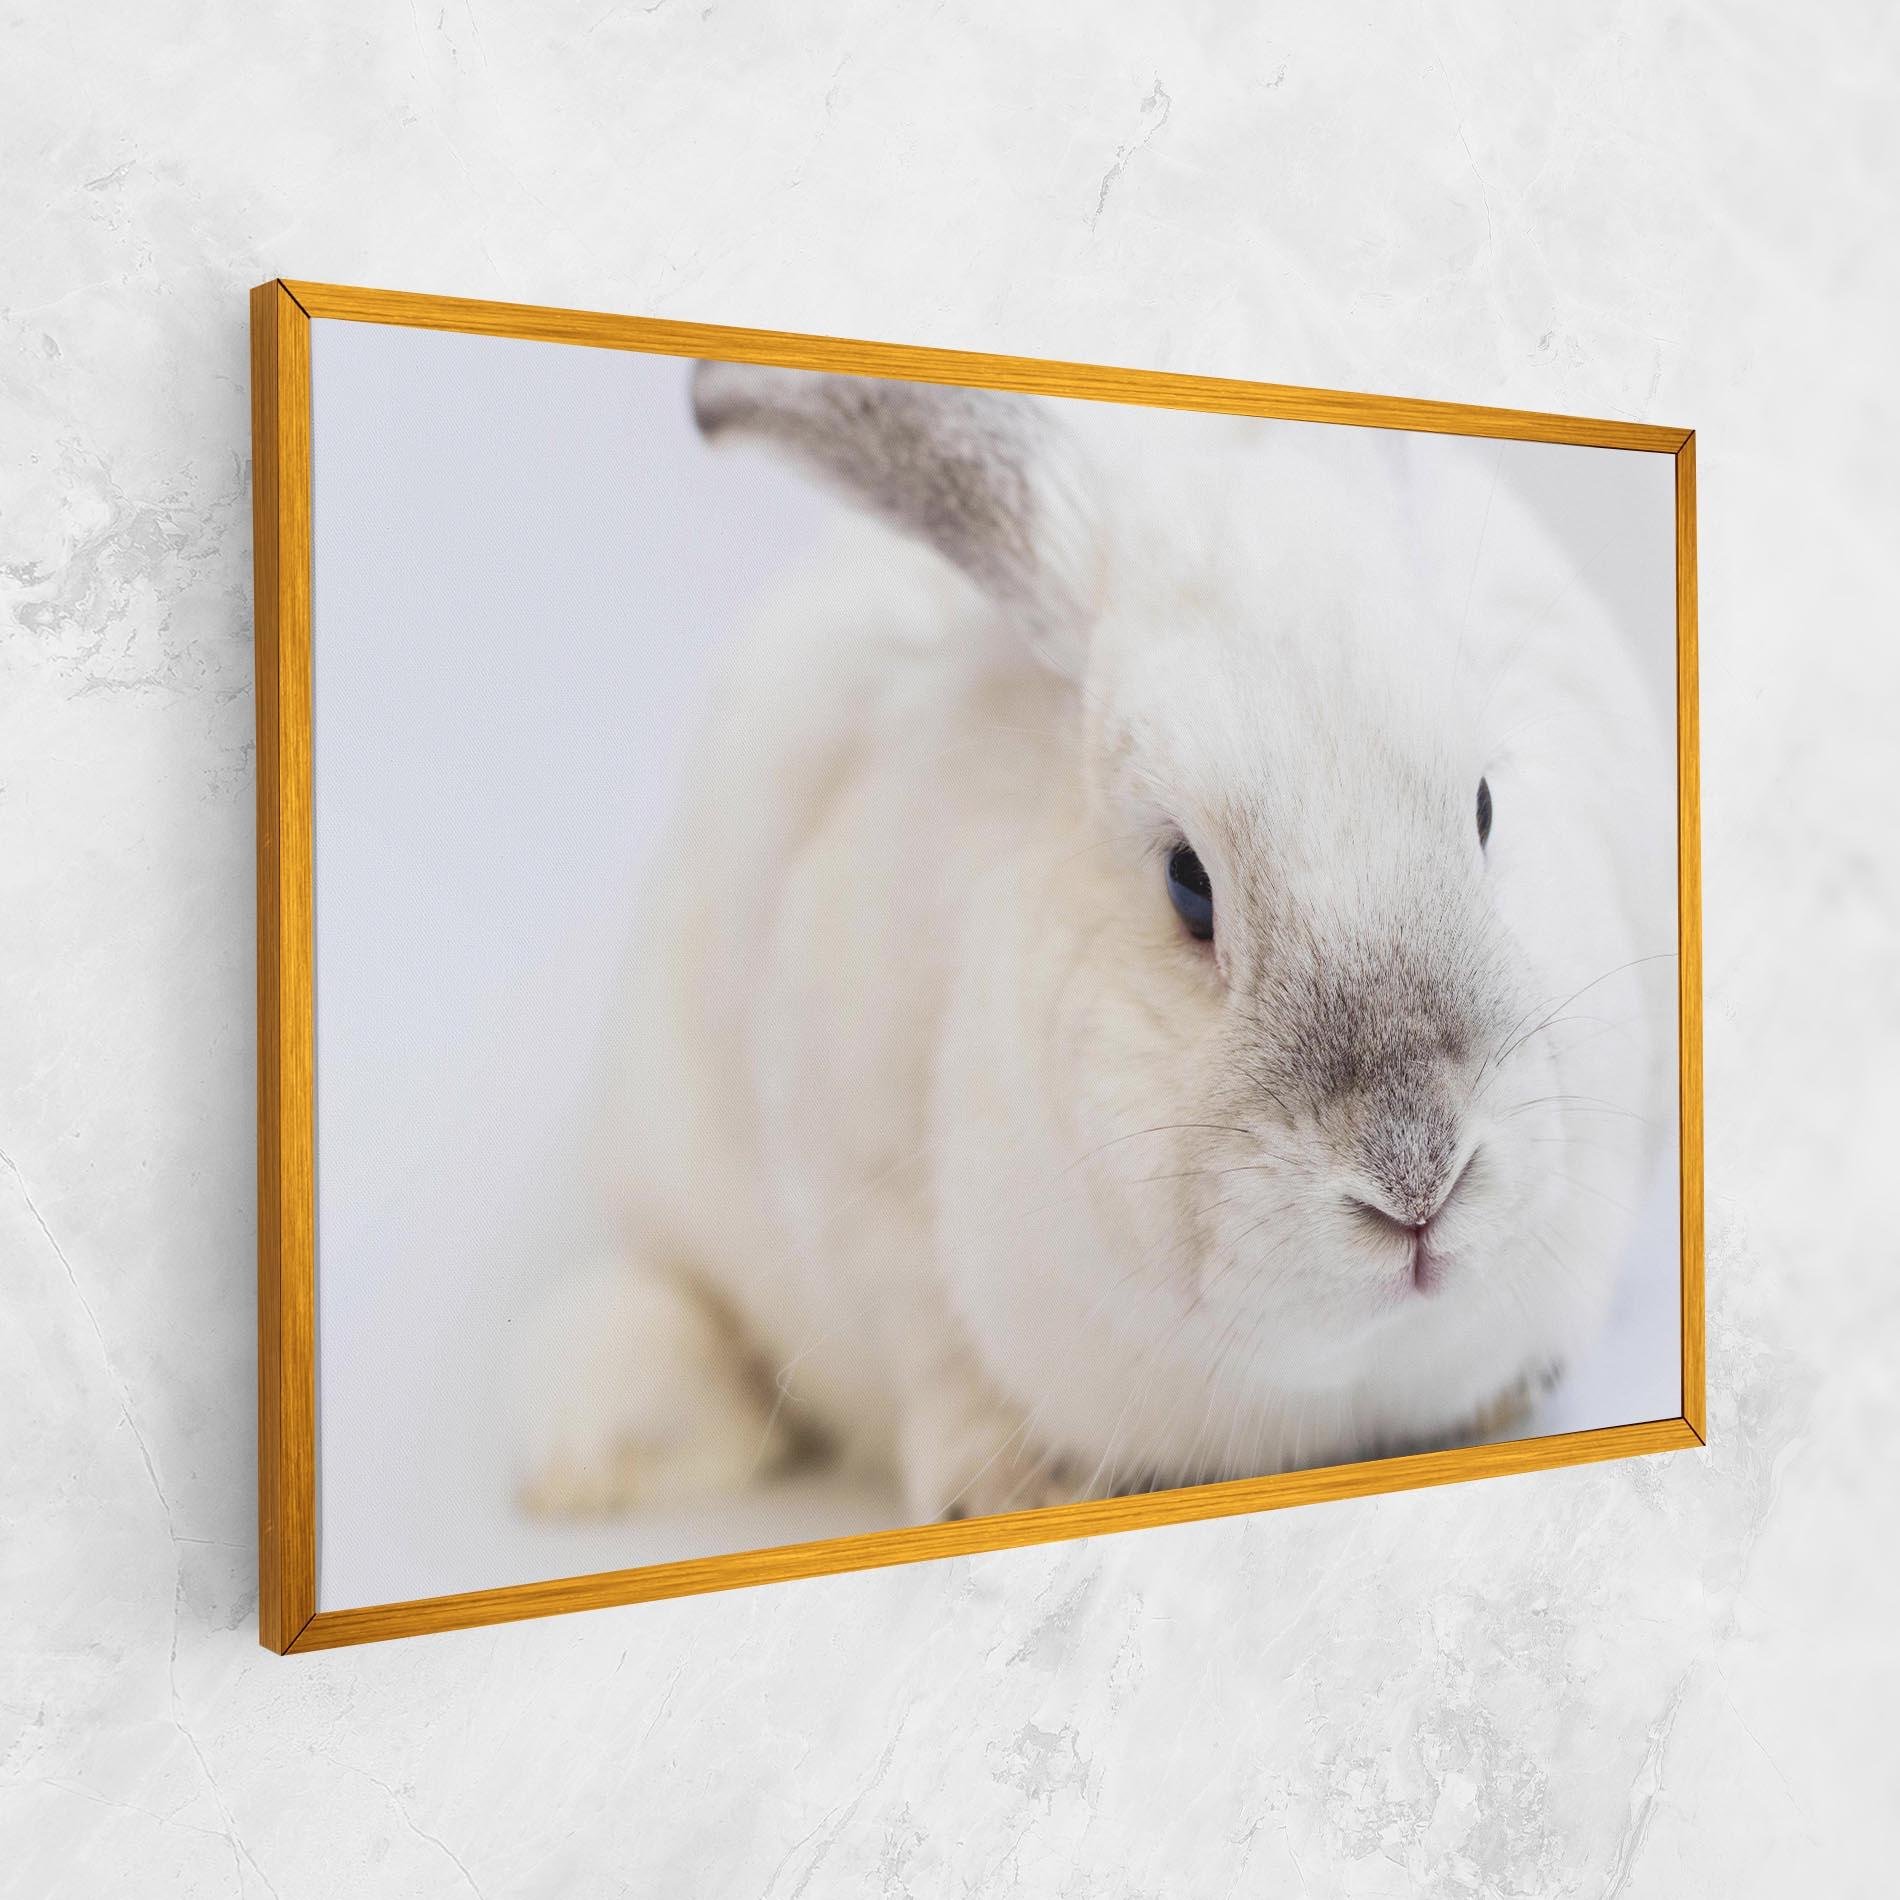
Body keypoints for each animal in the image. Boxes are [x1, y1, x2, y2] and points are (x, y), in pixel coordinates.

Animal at [514, 358, 1676, 1526]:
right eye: (1187, 883)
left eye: (1483, 807)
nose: (1417, 1180)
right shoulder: (860, 1183)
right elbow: (934, 1358)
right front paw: (1006, 1490)